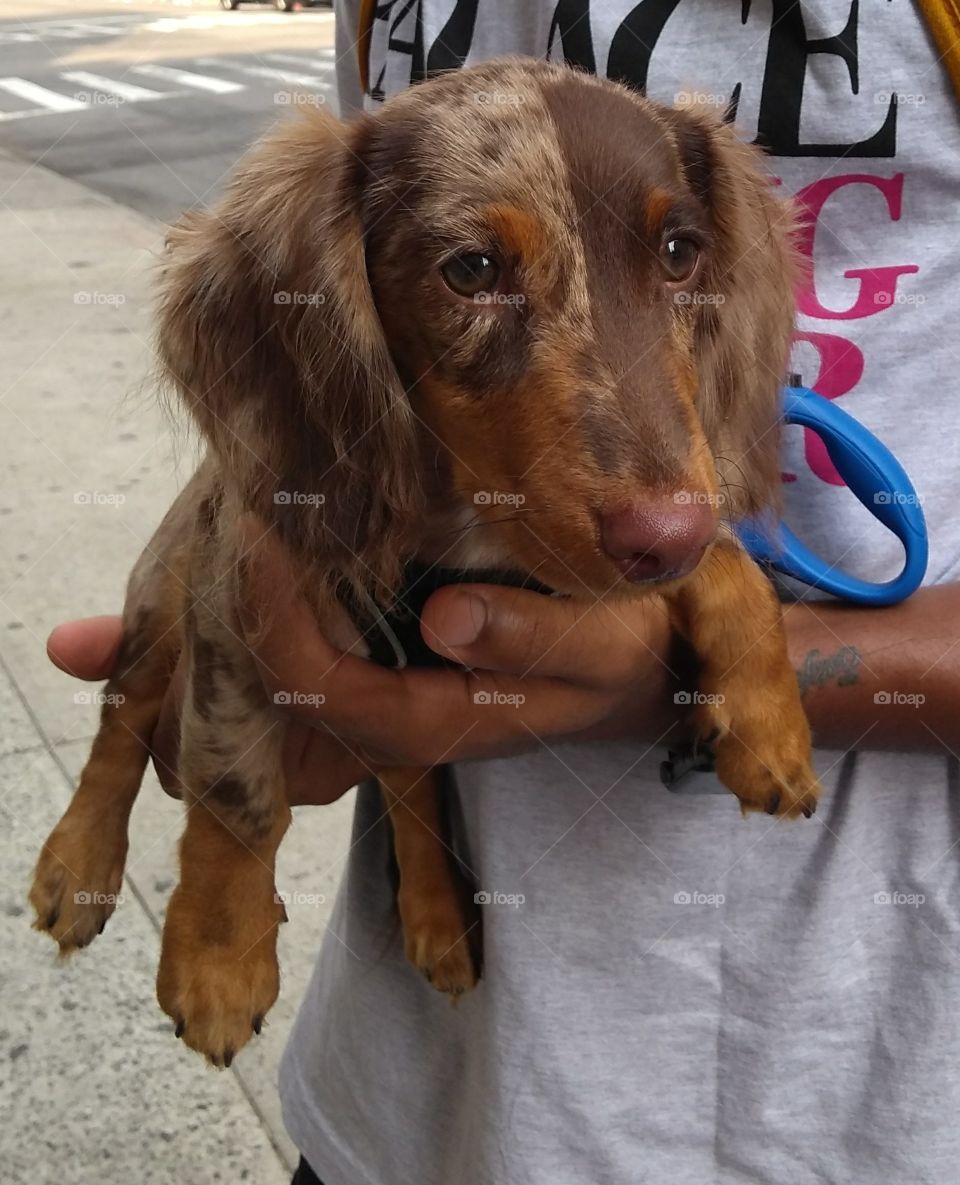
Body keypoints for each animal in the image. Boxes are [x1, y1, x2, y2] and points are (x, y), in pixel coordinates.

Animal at [33, 57, 820, 1066]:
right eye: (472, 271)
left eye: (681, 253)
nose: (664, 535)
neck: (461, 533)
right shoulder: (229, 609)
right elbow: (237, 791)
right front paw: (218, 960)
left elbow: (731, 570)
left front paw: (769, 721)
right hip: (161, 588)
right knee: (123, 711)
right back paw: (77, 862)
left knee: (408, 772)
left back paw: (440, 914)